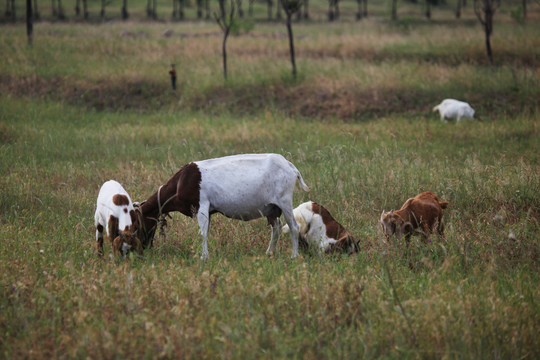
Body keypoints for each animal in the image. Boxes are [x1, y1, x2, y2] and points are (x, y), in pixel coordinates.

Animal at [135, 153, 310, 260]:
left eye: (137, 224)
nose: (144, 247)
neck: (180, 182)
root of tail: (289, 165)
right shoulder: (209, 211)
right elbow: (206, 232)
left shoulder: (201, 205)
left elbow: (202, 234)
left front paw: (203, 257)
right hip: (271, 208)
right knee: (277, 226)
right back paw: (269, 252)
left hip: (284, 200)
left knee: (293, 226)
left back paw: (294, 255)